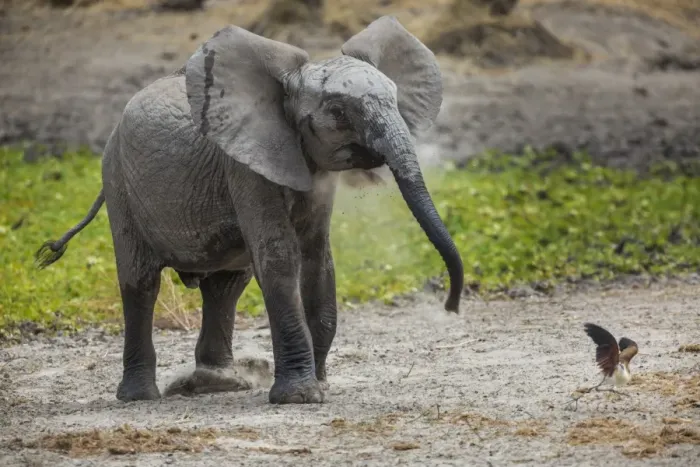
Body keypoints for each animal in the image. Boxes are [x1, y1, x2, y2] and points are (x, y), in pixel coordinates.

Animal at [35, 16, 465, 404]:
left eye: (395, 98)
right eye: (339, 112)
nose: (451, 306)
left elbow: (317, 260)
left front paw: (320, 387)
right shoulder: (243, 167)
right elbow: (280, 258)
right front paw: (300, 397)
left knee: (225, 286)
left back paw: (218, 384)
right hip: (118, 180)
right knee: (141, 282)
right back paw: (140, 397)